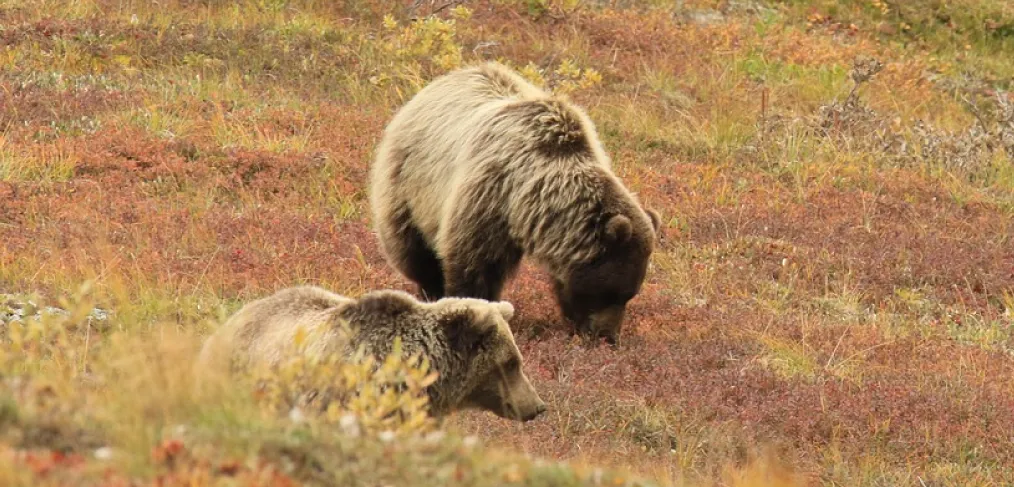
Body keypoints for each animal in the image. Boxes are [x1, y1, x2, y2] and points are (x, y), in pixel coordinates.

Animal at [369, 61, 661, 342]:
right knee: (412, 249)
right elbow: (473, 264)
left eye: (630, 294)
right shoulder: (488, 195)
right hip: (407, 183)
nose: (608, 337)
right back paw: (428, 291)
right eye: (610, 292)